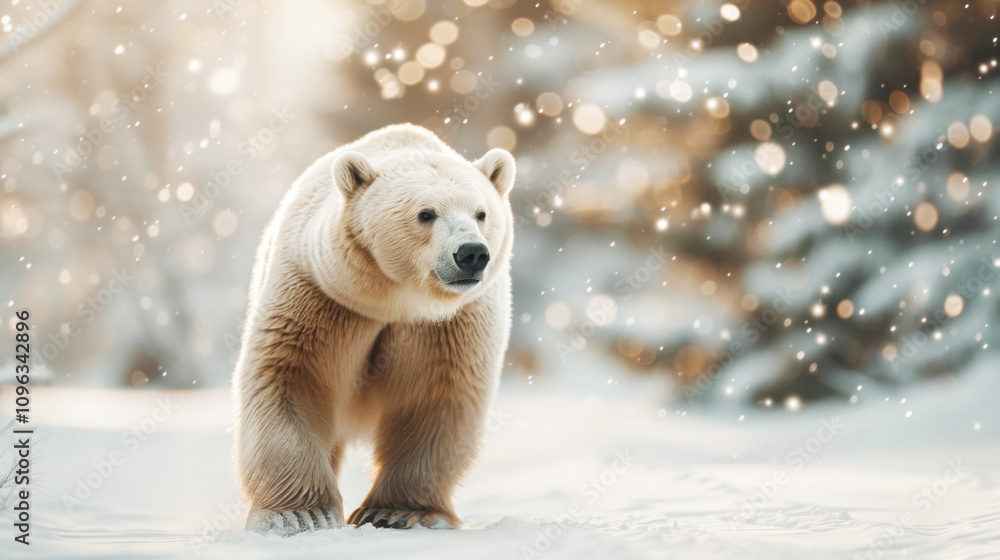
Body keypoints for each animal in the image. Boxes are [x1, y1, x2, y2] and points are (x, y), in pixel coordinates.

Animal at [233, 123, 515, 535]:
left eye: (481, 213)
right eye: (426, 213)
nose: (471, 253)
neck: (393, 300)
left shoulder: (451, 324)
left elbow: (436, 397)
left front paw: (397, 513)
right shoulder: (322, 298)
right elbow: (292, 379)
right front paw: (299, 515)